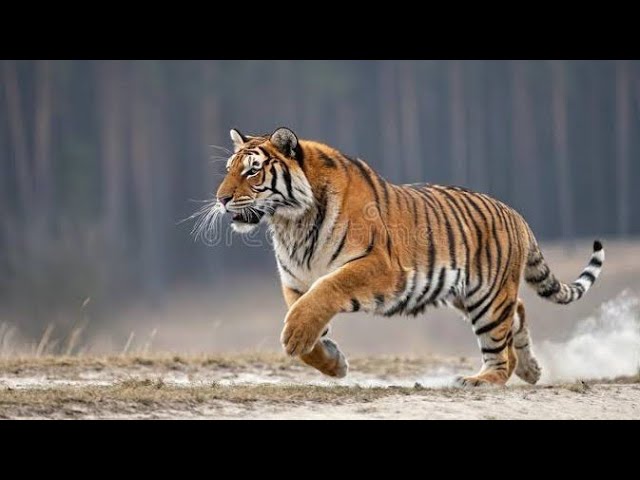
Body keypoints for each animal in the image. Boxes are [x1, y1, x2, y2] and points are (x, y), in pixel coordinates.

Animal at [197, 126, 605, 387]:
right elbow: (307, 318)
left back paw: (482, 380)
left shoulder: (379, 266)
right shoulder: (296, 281)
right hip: (470, 295)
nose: (221, 199)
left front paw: (296, 337)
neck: (292, 223)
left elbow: (326, 292)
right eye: (229, 170)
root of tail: (516, 215)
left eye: (252, 171)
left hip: (487, 297)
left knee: (500, 348)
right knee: (517, 312)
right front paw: (333, 364)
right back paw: (531, 370)